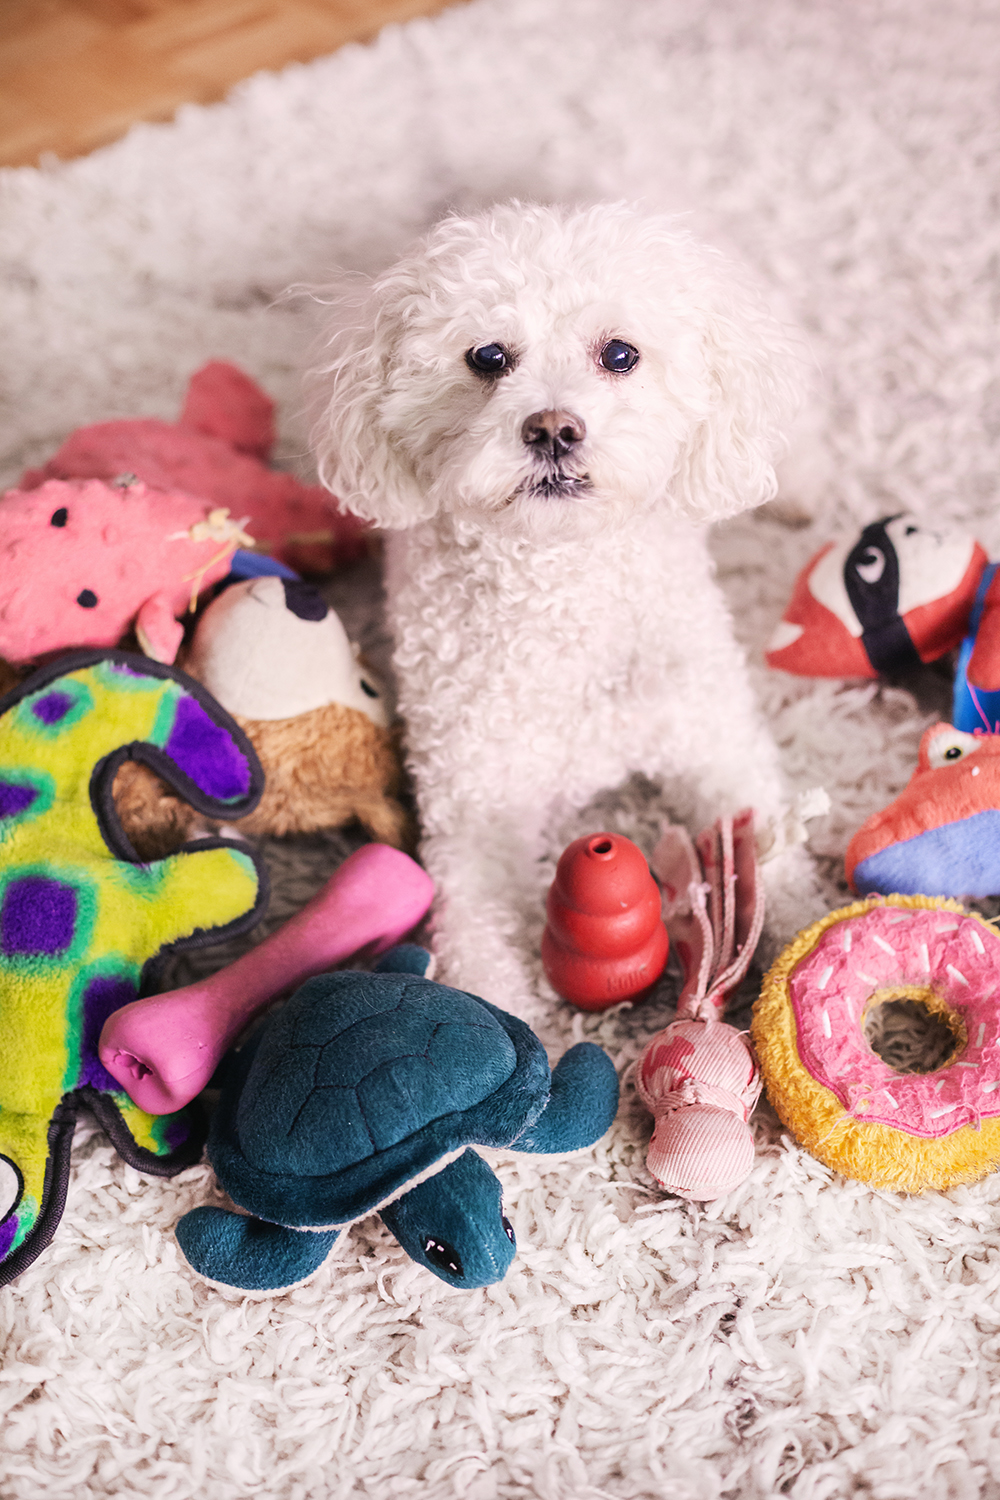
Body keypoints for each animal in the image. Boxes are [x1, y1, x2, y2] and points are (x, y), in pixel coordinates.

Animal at [314, 202, 821, 1032]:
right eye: (487, 357)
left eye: (620, 354)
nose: (553, 428)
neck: (559, 583)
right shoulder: (473, 812)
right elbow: (479, 942)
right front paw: (506, 1035)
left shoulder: (715, 744)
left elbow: (772, 856)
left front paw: (816, 940)